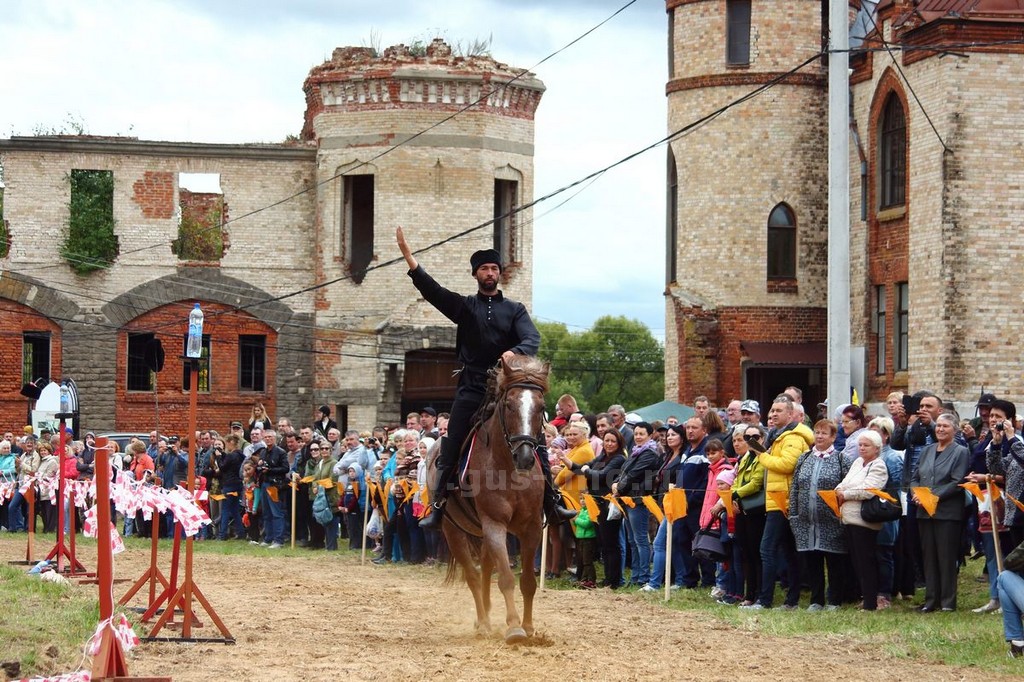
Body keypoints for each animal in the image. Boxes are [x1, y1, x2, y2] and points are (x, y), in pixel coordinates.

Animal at [435, 354, 548, 644]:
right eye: (508, 404)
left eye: (541, 407)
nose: (525, 457)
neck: (509, 470)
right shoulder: (494, 523)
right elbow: (506, 578)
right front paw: (514, 627)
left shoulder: (531, 528)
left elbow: (528, 581)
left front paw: (529, 627)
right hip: (453, 530)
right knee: (474, 575)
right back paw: (484, 622)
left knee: (485, 568)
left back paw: (485, 614)